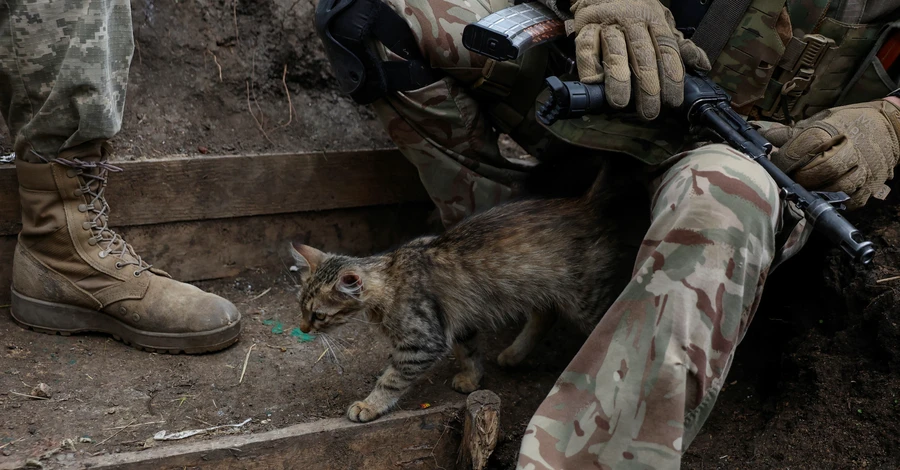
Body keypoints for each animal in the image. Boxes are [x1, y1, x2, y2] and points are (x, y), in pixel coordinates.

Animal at [292, 165, 644, 422]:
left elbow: (391, 379)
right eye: (300, 308)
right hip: (542, 287)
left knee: (608, 325)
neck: (390, 276)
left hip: (586, 298)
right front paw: (473, 380)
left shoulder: (423, 343)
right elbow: (471, 351)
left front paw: (369, 405)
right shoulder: (459, 320)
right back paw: (514, 354)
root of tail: (584, 204)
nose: (303, 328)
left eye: (318, 315)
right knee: (545, 315)